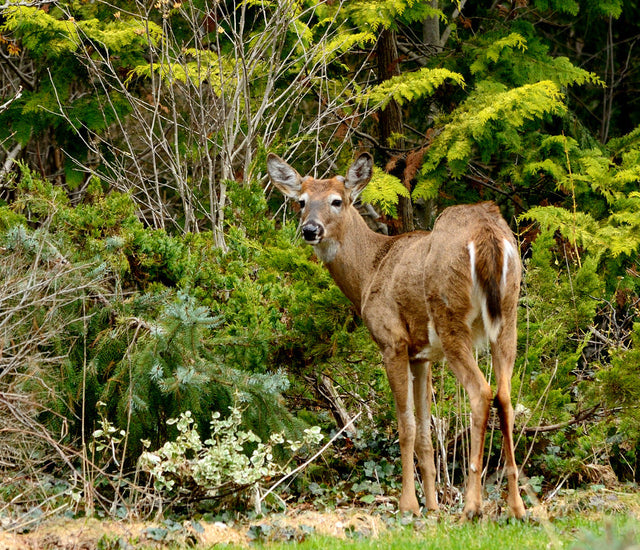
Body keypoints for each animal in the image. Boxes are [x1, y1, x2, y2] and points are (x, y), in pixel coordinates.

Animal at [266, 151, 526, 520]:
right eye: (301, 201)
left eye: (337, 201)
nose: (310, 230)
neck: (369, 272)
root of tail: (488, 235)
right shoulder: (422, 355)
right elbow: (426, 432)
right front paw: (432, 505)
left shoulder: (393, 342)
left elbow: (406, 427)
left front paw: (409, 505)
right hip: (508, 315)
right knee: (505, 395)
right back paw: (517, 507)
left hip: (450, 318)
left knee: (481, 392)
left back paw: (472, 506)